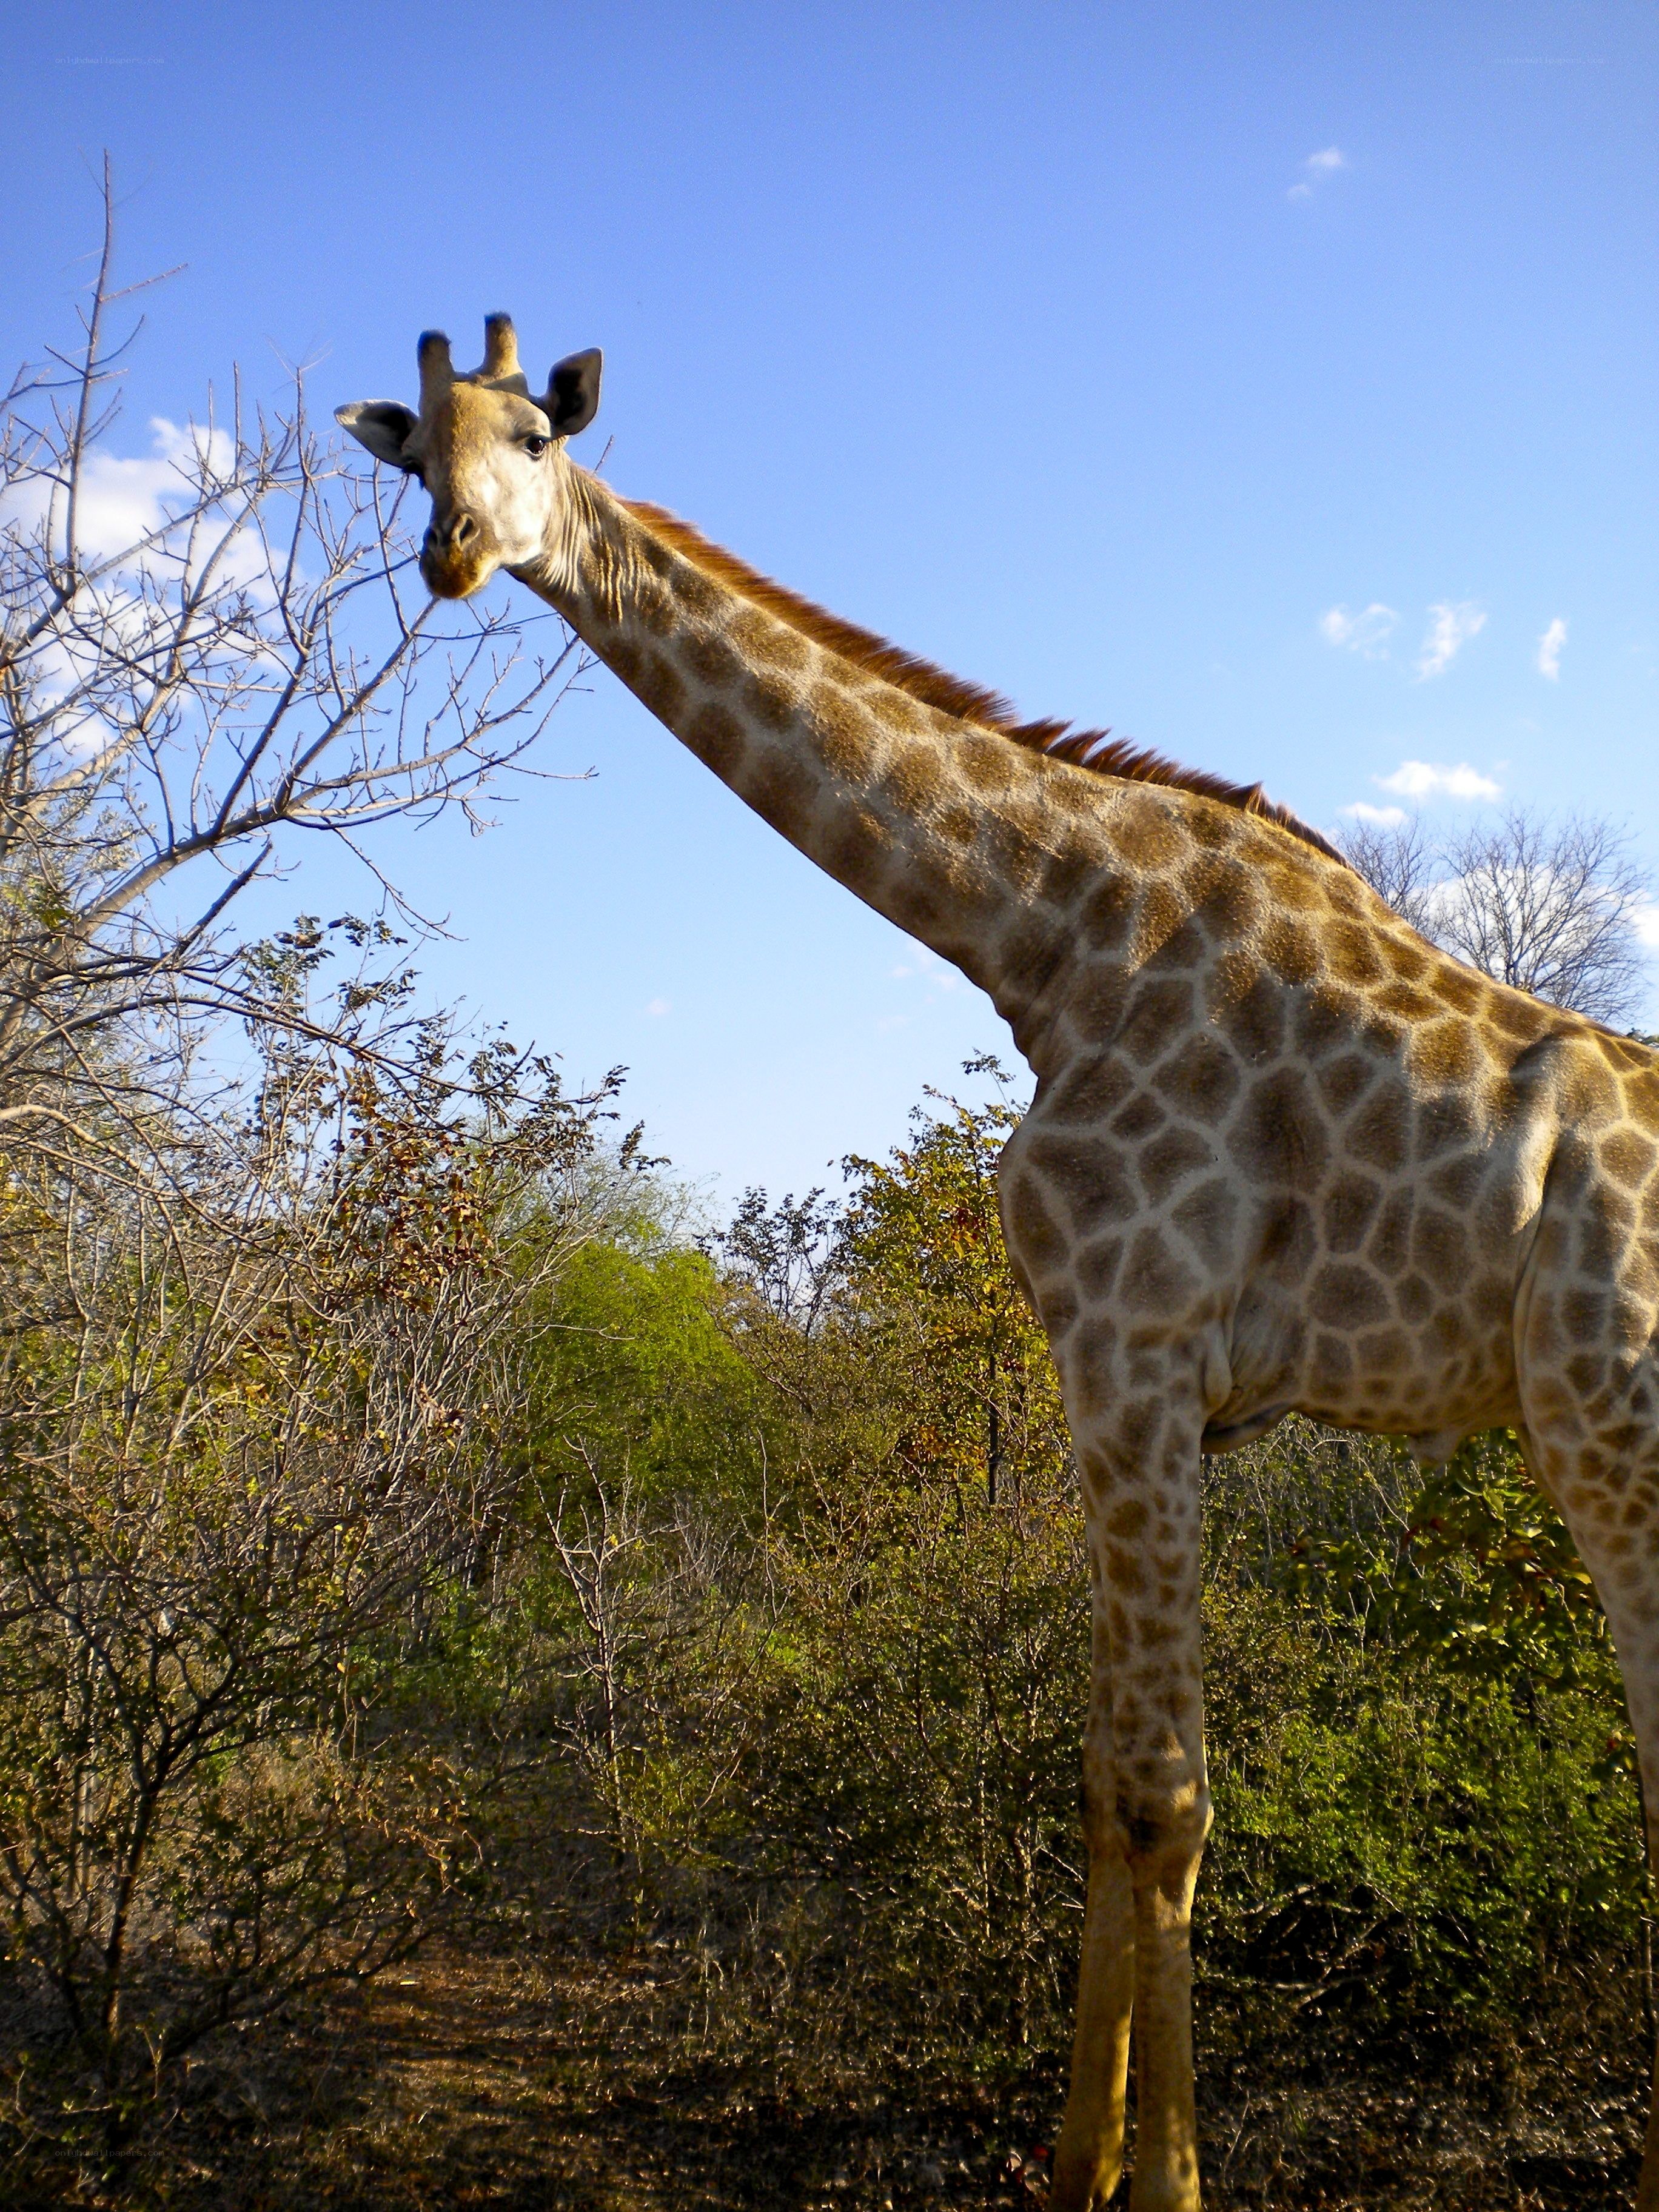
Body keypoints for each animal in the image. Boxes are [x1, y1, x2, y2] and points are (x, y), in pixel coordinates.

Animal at [340, 317, 1659, 2211]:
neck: (1039, 937)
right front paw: (1076, 2171)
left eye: (533, 435)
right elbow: (1102, 1777)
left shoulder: (1140, 1345)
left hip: (1603, 1429)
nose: (450, 552)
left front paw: (1162, 2185)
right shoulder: (1116, 1380)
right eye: (407, 453)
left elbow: (1164, 1790)